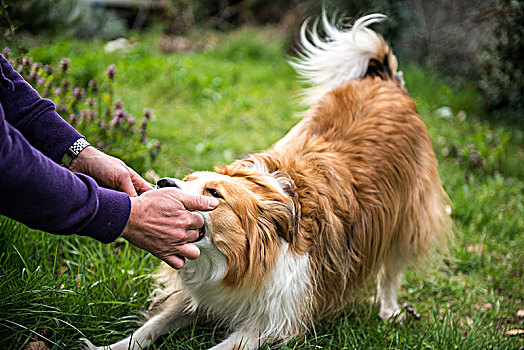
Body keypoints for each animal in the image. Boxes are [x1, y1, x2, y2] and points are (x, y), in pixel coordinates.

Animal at [88, 12, 452, 348]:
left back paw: (389, 310)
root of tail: (385, 80)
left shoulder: (272, 321)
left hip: (404, 215)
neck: (239, 261)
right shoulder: (200, 297)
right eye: (187, 178)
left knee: (391, 268)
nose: (163, 183)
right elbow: (148, 328)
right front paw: (108, 345)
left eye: (214, 193)